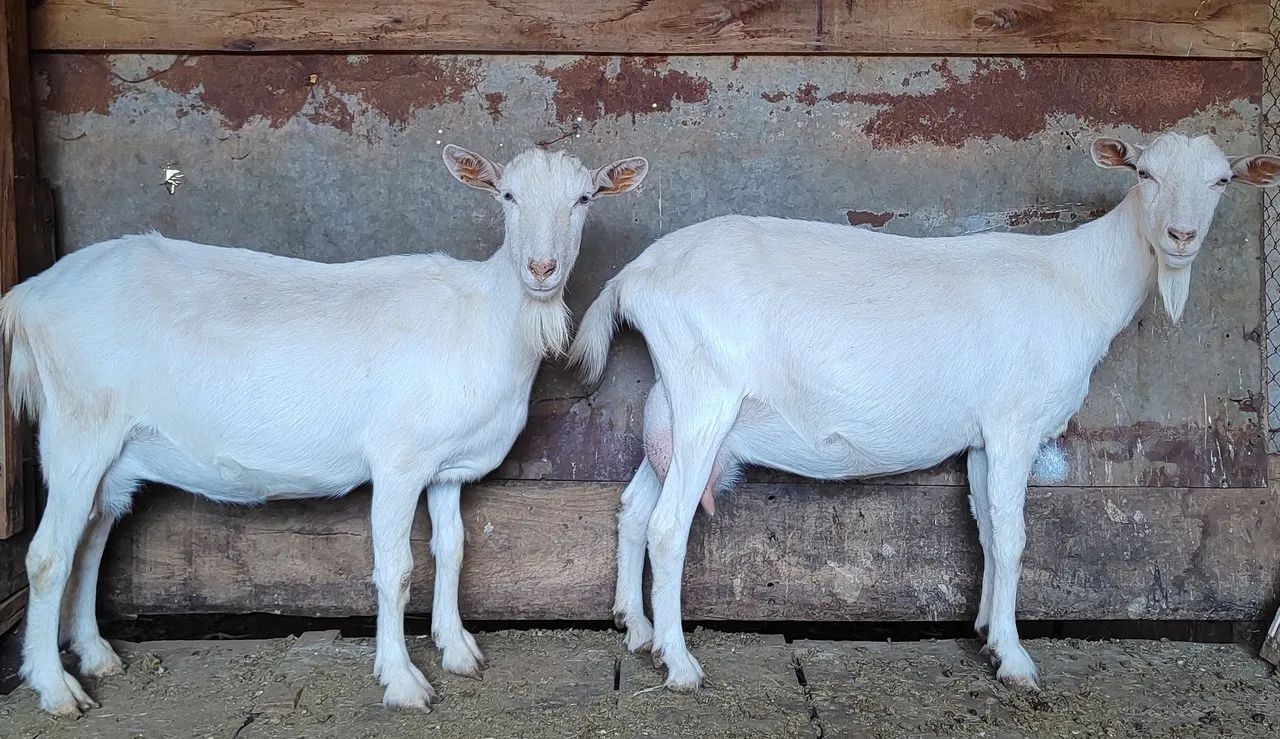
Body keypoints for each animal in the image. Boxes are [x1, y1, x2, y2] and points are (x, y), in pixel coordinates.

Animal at [2, 145, 648, 716]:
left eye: (584, 198)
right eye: (507, 195)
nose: (541, 269)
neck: (487, 317)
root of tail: (29, 295)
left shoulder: (445, 470)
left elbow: (453, 549)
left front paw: (458, 651)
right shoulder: (397, 461)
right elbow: (396, 569)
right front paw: (402, 681)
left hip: (116, 455)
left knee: (89, 541)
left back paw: (96, 656)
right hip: (78, 428)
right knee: (47, 555)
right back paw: (56, 689)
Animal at [569, 132, 1279, 691]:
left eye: (1221, 180)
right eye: (1144, 173)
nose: (1182, 237)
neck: (1081, 280)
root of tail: (634, 276)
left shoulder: (983, 438)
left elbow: (988, 529)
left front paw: (989, 634)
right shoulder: (1015, 424)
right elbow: (1015, 536)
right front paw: (1017, 661)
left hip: (676, 407)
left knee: (634, 508)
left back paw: (636, 630)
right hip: (705, 399)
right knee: (667, 525)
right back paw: (680, 665)